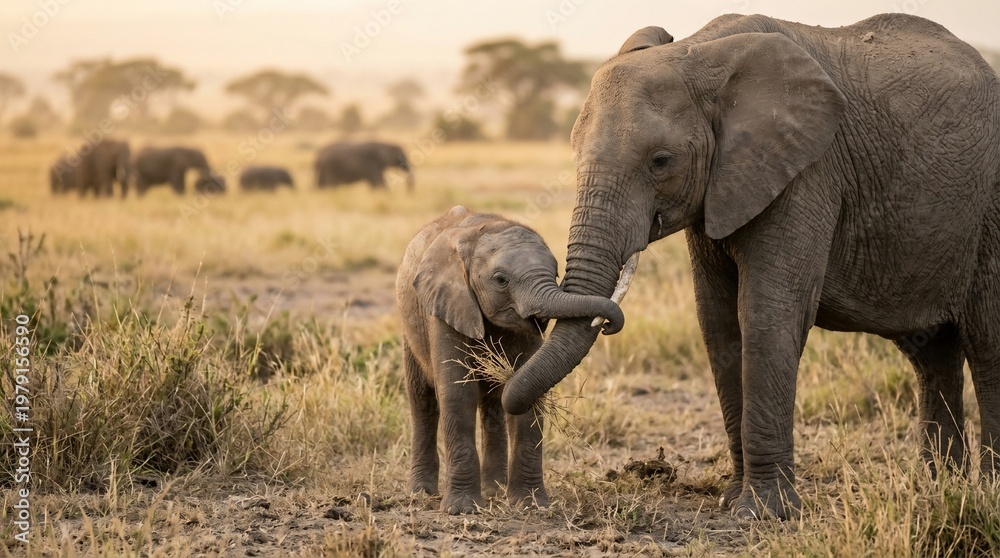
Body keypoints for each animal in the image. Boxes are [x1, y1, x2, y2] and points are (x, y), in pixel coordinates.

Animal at [396, 205, 623, 514]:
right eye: (501, 280)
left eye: (556, 272)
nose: (608, 325)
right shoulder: (445, 307)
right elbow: (458, 394)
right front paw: (462, 510)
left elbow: (528, 393)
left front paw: (530, 505)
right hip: (410, 329)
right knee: (422, 401)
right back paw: (421, 493)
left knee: (492, 406)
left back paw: (495, 490)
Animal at [501, 13, 1000, 521]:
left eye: (661, 161)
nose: (610, 321)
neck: (700, 53)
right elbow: (718, 324)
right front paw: (732, 500)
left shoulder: (806, 172)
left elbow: (766, 314)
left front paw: (762, 513)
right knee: (931, 354)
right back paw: (940, 488)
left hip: (989, 214)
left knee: (987, 345)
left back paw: (984, 490)